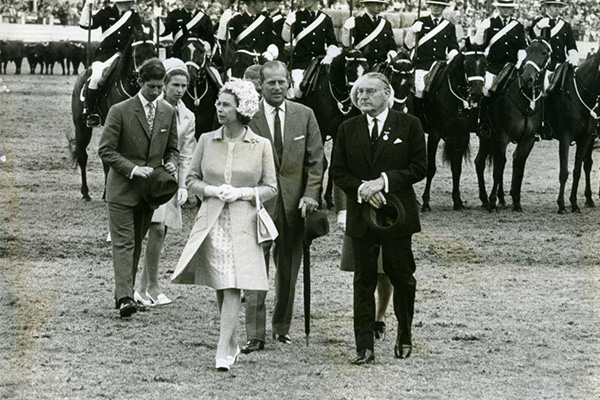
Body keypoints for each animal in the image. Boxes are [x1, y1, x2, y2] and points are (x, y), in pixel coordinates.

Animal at [302, 48, 368, 208]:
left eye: (367, 69)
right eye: (349, 70)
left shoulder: (338, 132)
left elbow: (333, 165)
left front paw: (328, 198)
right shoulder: (320, 130)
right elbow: (322, 162)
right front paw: (317, 198)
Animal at [420, 45, 490, 211]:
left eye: (485, 65)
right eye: (467, 64)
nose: (477, 94)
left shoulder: (461, 135)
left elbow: (456, 168)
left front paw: (457, 201)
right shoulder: (434, 134)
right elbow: (431, 168)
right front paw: (425, 202)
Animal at [476, 38, 552, 211]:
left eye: (544, 53)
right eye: (526, 51)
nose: (527, 79)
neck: (524, 98)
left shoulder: (527, 140)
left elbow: (519, 165)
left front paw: (516, 201)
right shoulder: (502, 137)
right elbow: (498, 168)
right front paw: (492, 202)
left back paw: (501, 199)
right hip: (487, 138)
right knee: (480, 163)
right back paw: (485, 199)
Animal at [548, 47, 600, 212]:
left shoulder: (586, 138)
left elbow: (578, 170)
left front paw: (574, 203)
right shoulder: (565, 137)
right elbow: (564, 171)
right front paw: (561, 205)